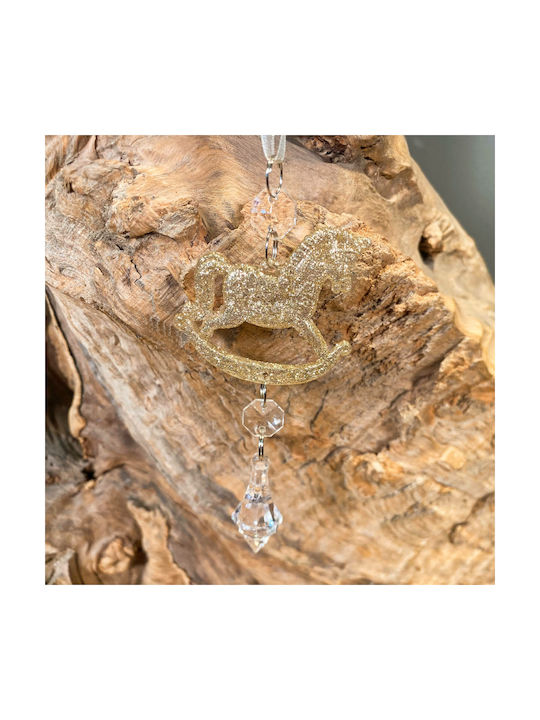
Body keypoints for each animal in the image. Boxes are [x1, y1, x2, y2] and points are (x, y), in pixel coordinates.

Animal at [178, 228, 369, 359]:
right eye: (346, 258)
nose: (344, 286)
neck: (300, 282)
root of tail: (229, 270)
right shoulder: (300, 320)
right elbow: (316, 339)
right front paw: (330, 354)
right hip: (235, 315)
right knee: (209, 324)